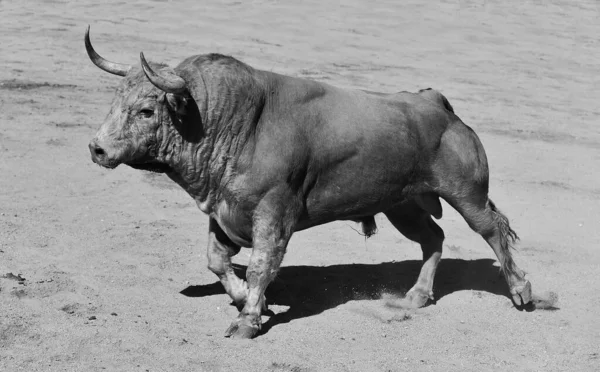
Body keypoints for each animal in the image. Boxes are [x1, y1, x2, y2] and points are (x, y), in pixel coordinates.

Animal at [85, 27, 536, 338]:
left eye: (146, 110)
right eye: (115, 102)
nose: (97, 149)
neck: (235, 122)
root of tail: (436, 103)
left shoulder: (273, 213)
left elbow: (261, 266)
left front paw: (248, 320)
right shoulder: (224, 208)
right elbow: (216, 260)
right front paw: (246, 300)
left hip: (467, 194)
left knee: (491, 230)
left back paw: (522, 291)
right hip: (402, 205)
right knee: (433, 238)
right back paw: (417, 296)